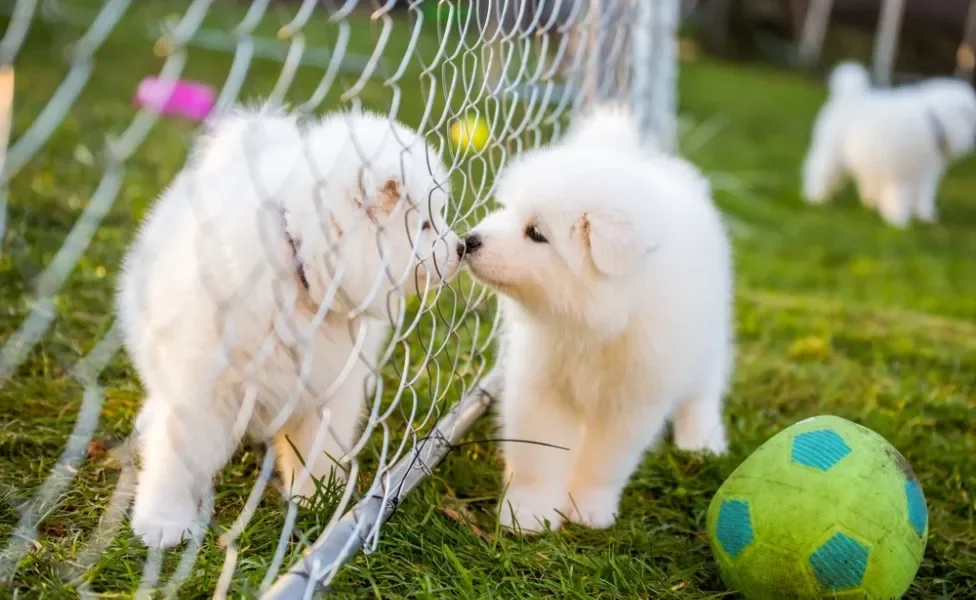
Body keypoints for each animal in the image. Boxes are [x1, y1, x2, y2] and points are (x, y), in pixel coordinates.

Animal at [117, 105, 462, 548]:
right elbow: (178, 457)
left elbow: (318, 448)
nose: (462, 247)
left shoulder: (330, 385)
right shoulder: (203, 388)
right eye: (424, 226)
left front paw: (317, 500)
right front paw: (163, 521)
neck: (301, 277)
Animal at [464, 106, 732, 536]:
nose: (469, 240)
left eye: (536, 233)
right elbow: (539, 456)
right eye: (508, 209)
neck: (591, 326)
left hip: (706, 338)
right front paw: (528, 513)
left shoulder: (632, 402)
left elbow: (604, 463)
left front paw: (588, 511)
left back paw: (702, 440)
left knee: (703, 390)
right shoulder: (540, 384)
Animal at [800, 62, 976, 227]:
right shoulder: (900, 172)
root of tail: (851, 94)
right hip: (832, 152)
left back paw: (869, 203)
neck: (932, 120)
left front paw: (926, 218)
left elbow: (924, 196)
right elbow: (899, 197)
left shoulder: (925, 174)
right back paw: (817, 198)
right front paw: (900, 222)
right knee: (818, 171)